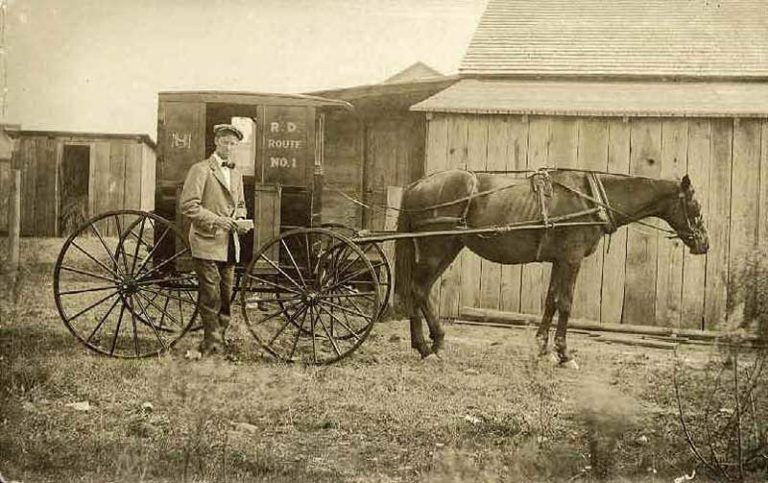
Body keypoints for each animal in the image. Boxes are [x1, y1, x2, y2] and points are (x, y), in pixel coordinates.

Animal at [396, 168, 708, 368]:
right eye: (695, 205)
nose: (704, 243)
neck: (589, 199)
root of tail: (416, 185)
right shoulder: (572, 259)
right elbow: (566, 303)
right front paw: (564, 354)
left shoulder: (560, 261)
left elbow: (551, 301)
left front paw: (542, 348)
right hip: (437, 248)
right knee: (418, 289)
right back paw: (427, 346)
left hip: (448, 248)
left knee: (420, 292)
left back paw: (430, 344)